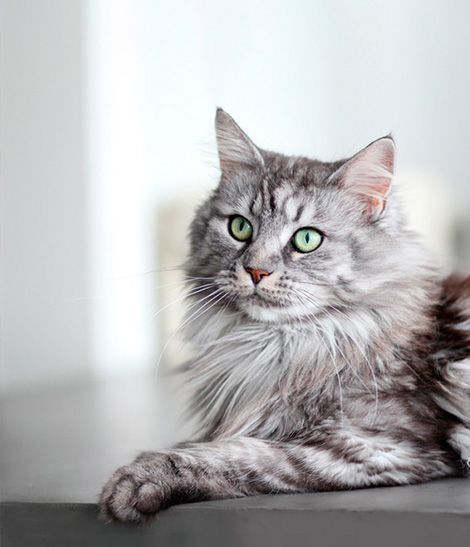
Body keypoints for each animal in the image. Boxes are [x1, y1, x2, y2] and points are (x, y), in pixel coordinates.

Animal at [100, 109, 470, 524]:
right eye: (239, 227)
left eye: (307, 240)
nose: (256, 270)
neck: (278, 345)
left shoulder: (378, 444)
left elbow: (243, 455)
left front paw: (140, 477)